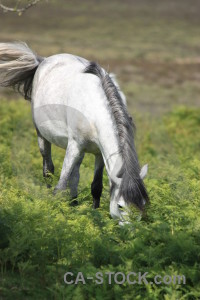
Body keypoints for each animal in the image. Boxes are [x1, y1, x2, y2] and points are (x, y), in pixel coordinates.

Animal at [0, 42, 148, 223]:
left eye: (142, 207)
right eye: (120, 206)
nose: (131, 230)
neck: (93, 109)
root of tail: (43, 61)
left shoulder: (99, 153)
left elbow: (96, 186)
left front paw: (94, 214)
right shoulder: (74, 146)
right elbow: (60, 185)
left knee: (75, 176)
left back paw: (74, 203)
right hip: (43, 136)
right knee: (48, 171)